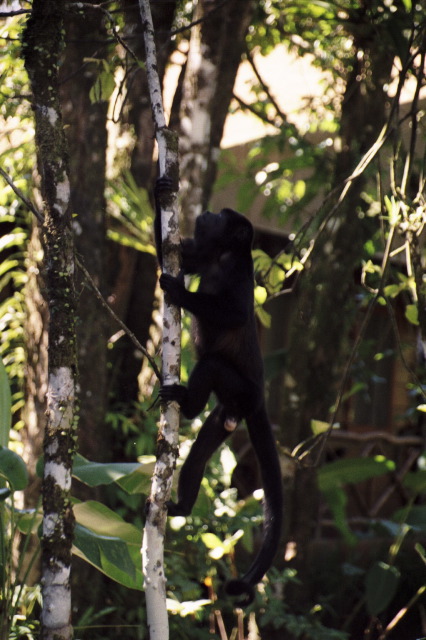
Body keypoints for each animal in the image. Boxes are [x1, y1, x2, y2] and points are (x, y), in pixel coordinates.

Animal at [154, 176, 283, 606]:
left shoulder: (240, 273)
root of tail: (257, 400)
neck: (224, 254)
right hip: (226, 413)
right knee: (198, 452)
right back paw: (181, 505)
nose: (208, 212)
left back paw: (186, 403)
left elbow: (234, 313)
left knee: (210, 365)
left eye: (222, 216)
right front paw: (158, 185)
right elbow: (169, 252)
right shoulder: (202, 254)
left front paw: (180, 294)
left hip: (239, 389)